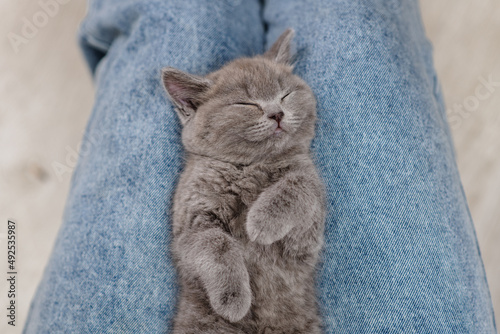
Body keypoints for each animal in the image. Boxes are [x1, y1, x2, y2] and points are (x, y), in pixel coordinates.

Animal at [164, 29, 326, 334]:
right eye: (246, 104)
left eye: (285, 95)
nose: (277, 113)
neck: (251, 166)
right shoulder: (188, 228)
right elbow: (216, 242)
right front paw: (233, 300)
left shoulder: (306, 240)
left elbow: (302, 182)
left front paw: (262, 222)